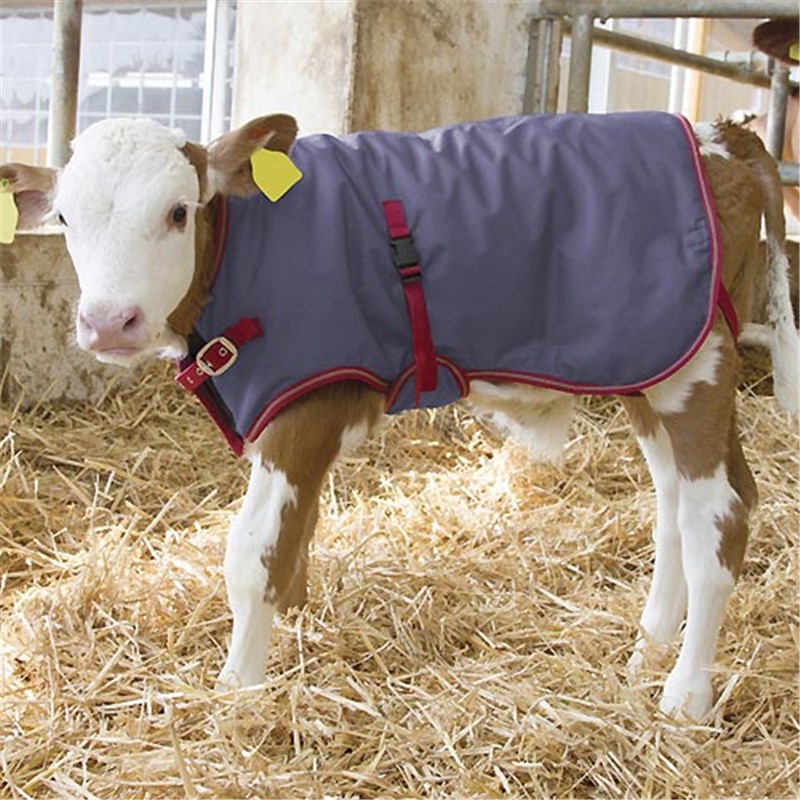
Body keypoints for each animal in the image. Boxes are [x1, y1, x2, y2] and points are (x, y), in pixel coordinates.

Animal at [1, 111, 796, 722]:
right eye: (66, 218)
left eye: (176, 211)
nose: (109, 321)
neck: (242, 248)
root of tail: (721, 132)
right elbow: (295, 543)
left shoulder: (304, 406)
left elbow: (254, 556)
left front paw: (237, 693)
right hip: (654, 366)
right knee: (675, 509)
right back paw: (644, 652)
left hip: (696, 370)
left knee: (721, 512)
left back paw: (684, 694)